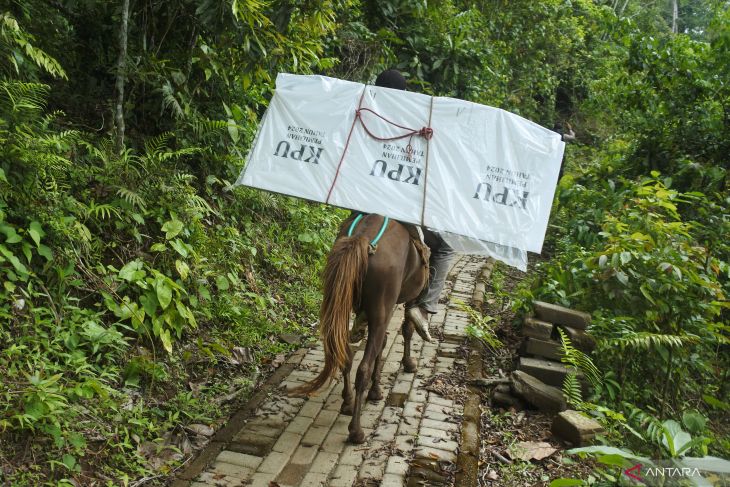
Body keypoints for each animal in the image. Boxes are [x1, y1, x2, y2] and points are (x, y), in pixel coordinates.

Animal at [294, 215, 426, 444]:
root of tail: (362, 240)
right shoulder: (408, 299)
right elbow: (407, 328)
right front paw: (407, 364)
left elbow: (383, 343)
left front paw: (376, 389)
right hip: (381, 309)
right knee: (362, 368)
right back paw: (356, 431)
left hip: (341, 303)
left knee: (345, 355)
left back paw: (347, 402)